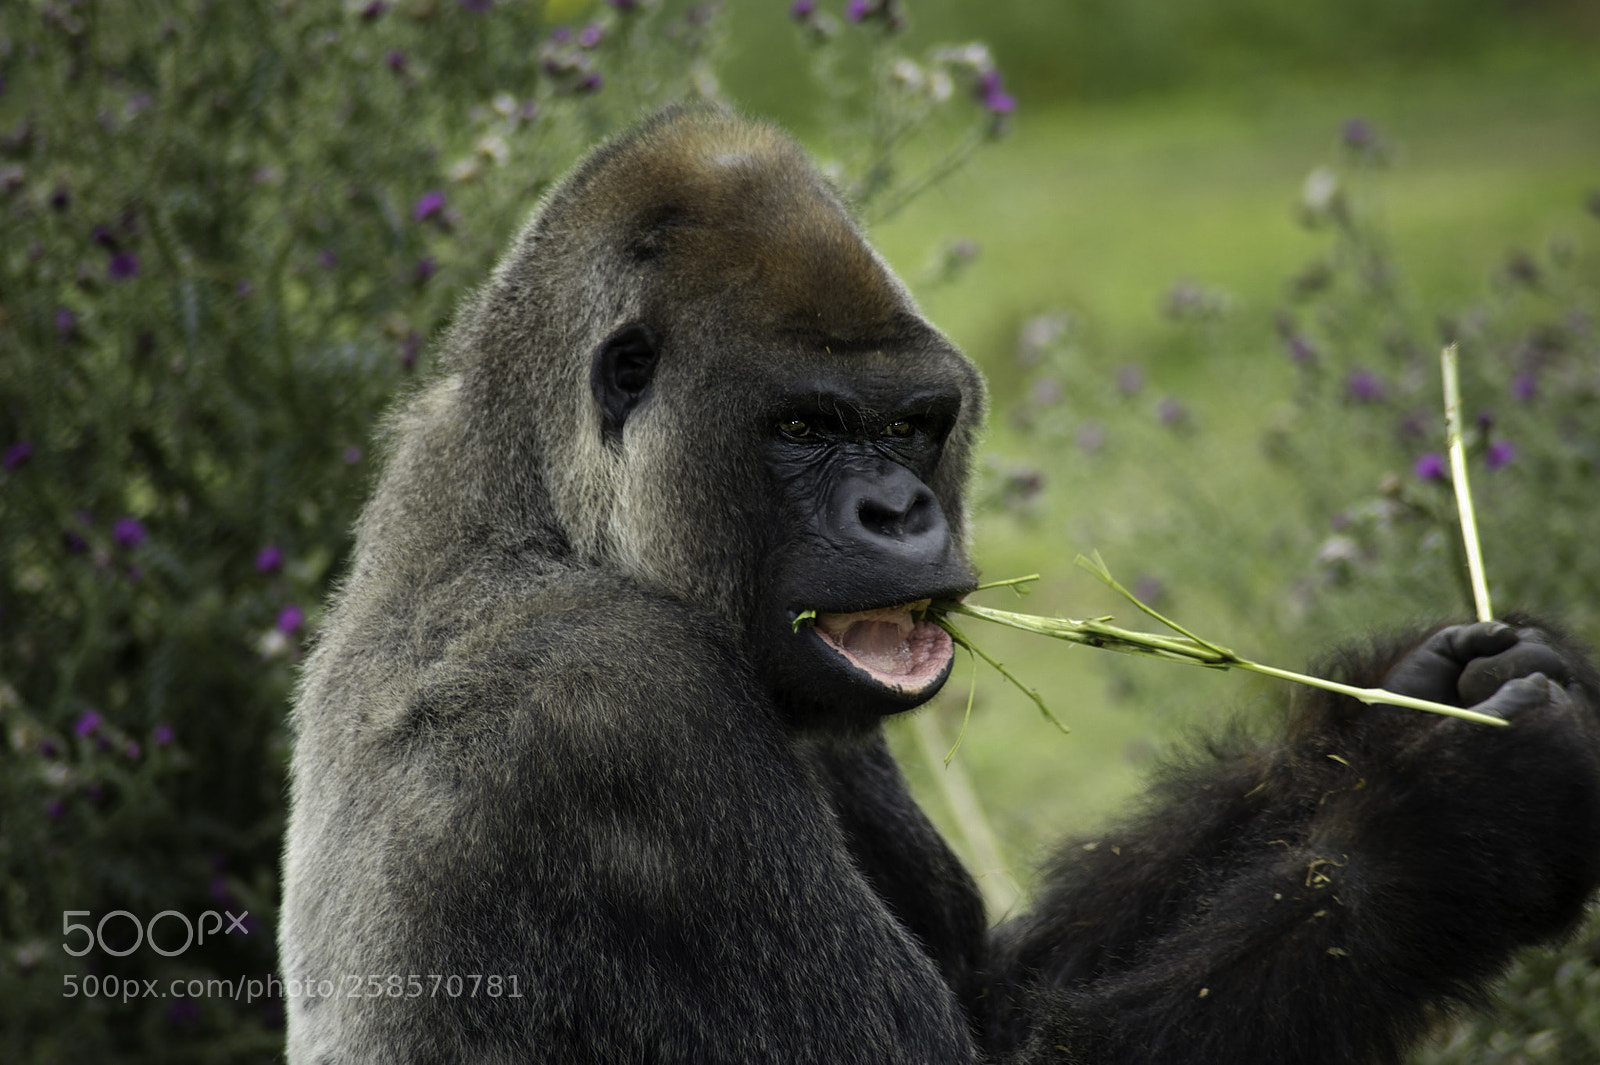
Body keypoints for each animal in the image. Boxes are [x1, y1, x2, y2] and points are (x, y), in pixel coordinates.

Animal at [279, 104, 1600, 1064]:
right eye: (804, 427)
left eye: (913, 427)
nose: (899, 514)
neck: (542, 511)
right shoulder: (610, 708)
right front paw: (1461, 813)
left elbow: (1001, 985)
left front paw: (1380, 708)